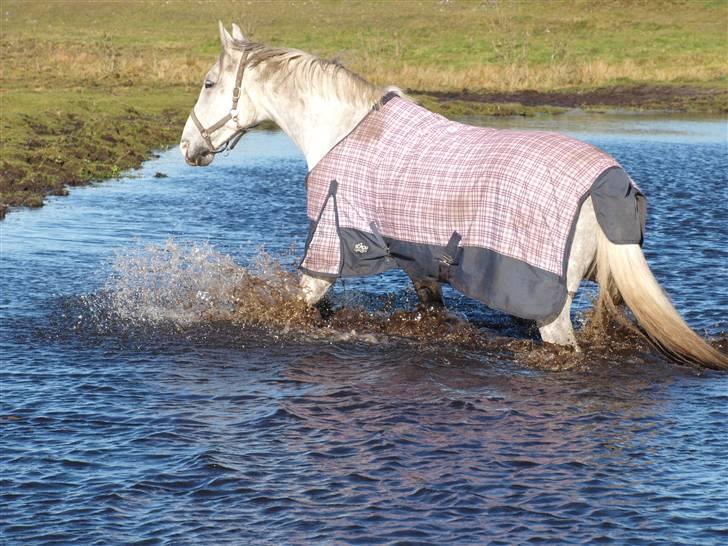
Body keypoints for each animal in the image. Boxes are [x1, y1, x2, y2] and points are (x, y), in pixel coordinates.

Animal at [179, 22, 724, 370]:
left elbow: (300, 307)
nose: (188, 147)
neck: (345, 133)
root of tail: (608, 182)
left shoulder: (329, 255)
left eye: (208, 83)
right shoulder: (418, 262)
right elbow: (432, 312)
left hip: (551, 308)